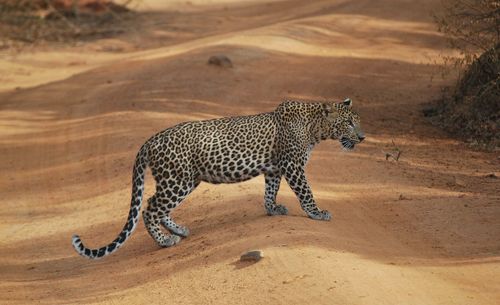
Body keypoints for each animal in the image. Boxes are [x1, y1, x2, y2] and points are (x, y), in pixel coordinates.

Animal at [71, 98, 364, 258]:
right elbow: (306, 192)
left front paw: (272, 209)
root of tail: (150, 141)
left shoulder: (274, 169)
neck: (316, 128)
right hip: (177, 180)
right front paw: (317, 213)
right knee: (149, 208)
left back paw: (178, 230)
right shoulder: (293, 165)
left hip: (183, 180)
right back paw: (166, 241)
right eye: (349, 123)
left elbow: (270, 190)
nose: (362, 137)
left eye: (358, 122)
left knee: (157, 205)